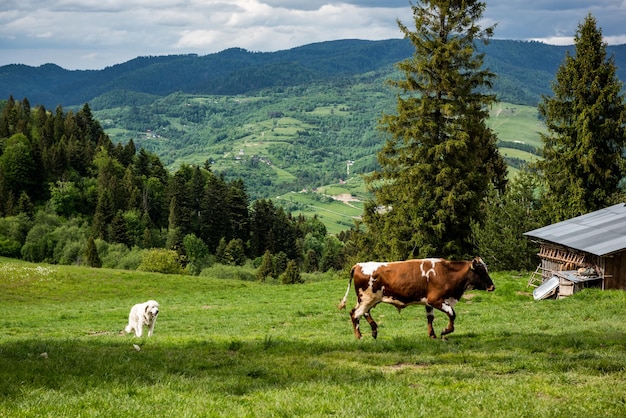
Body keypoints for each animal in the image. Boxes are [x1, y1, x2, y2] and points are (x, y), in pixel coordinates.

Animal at [336, 258, 492, 340]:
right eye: (481, 271)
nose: (493, 286)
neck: (446, 273)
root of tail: (359, 264)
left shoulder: (428, 302)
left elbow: (430, 318)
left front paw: (432, 334)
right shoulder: (436, 300)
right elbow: (452, 314)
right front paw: (445, 331)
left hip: (368, 300)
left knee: (363, 313)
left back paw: (374, 330)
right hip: (366, 299)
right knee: (355, 314)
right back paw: (359, 336)